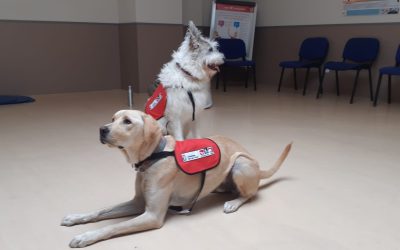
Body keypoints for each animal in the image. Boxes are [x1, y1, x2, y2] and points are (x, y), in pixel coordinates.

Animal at [62, 110, 292, 247]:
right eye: (112, 119)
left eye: (127, 122)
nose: (102, 129)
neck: (153, 157)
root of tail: (259, 167)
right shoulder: (138, 202)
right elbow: (100, 212)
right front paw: (76, 218)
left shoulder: (152, 215)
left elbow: (113, 226)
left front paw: (86, 236)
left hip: (240, 164)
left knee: (250, 194)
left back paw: (234, 203)